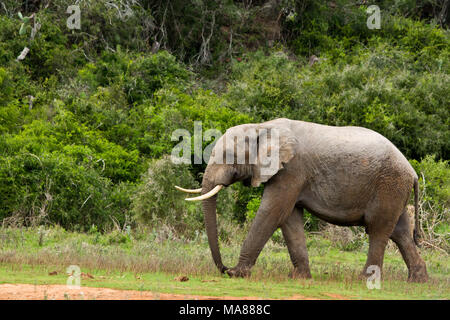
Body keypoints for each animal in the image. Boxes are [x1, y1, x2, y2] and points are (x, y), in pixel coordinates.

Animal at [176, 118, 428, 282]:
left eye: (229, 156)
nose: (223, 268)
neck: (262, 127)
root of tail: (413, 172)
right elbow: (289, 218)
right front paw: (299, 278)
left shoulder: (292, 170)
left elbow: (272, 212)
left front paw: (237, 274)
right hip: (395, 190)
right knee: (401, 232)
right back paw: (417, 281)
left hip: (389, 185)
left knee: (378, 230)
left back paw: (364, 280)